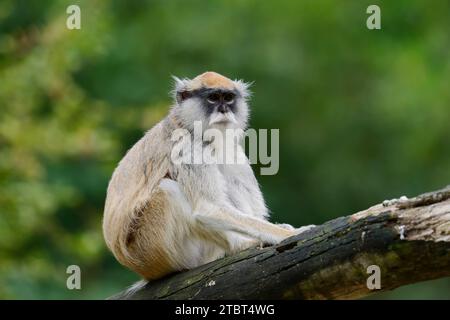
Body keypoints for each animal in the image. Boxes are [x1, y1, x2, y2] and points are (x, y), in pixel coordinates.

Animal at [103, 70, 312, 280]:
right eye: (213, 98)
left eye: (228, 98)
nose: (224, 110)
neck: (190, 124)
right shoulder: (186, 146)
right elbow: (208, 208)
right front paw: (290, 234)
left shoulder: (230, 147)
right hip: (156, 250)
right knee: (168, 190)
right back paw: (240, 244)